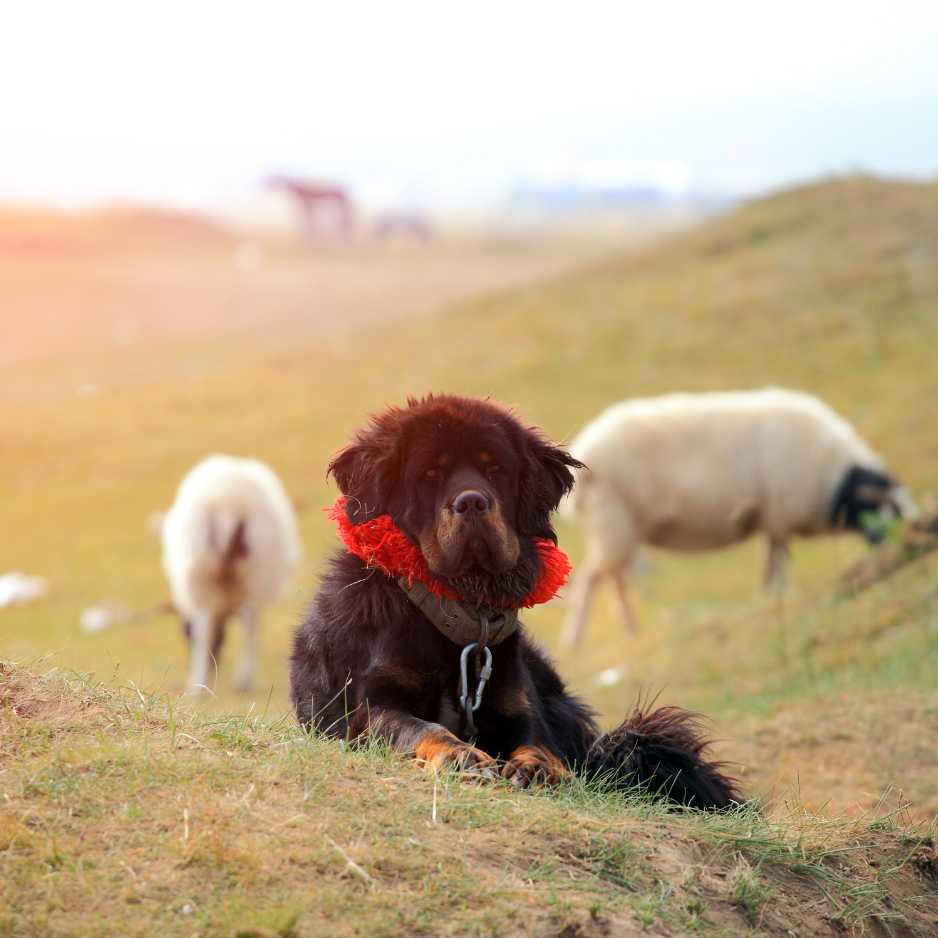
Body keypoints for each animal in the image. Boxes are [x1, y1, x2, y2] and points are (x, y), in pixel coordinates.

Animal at [161, 458, 300, 692]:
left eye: (185, 633)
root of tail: (228, 503)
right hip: (252, 572)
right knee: (248, 625)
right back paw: (241, 680)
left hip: (206, 572)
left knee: (210, 628)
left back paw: (200, 685)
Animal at [288, 394, 736, 804]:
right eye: (430, 473)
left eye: (495, 468)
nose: (472, 501)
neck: (461, 615)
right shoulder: (371, 706)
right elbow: (423, 727)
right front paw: (460, 756)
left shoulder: (519, 708)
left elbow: (539, 742)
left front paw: (537, 767)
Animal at [560, 388, 912, 644]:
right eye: (888, 513)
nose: (895, 549)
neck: (833, 479)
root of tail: (587, 448)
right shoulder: (780, 514)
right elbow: (779, 563)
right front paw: (776, 595)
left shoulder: (773, 520)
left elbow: (773, 562)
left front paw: (769, 596)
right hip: (613, 519)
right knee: (592, 579)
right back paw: (576, 638)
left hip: (619, 525)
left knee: (613, 578)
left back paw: (631, 629)